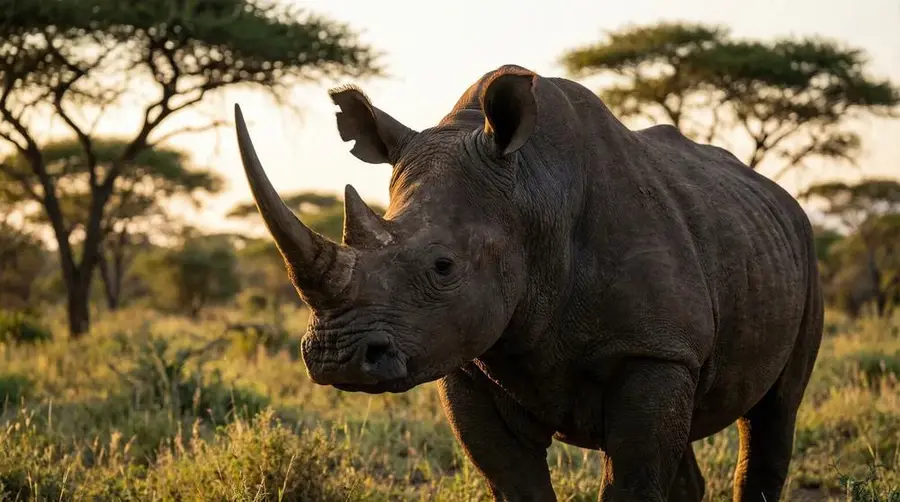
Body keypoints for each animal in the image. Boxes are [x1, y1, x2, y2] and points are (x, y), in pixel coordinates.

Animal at [232, 64, 824, 502]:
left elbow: (633, 482)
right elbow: (517, 483)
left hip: (802, 249)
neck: (533, 195)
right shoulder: (466, 364)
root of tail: (780, 195)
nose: (337, 357)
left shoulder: (655, 349)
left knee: (775, 413)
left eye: (443, 266)